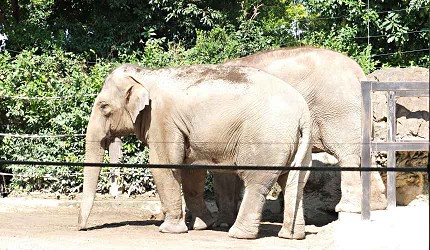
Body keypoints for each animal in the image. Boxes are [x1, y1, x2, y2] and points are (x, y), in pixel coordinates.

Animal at [78, 62, 312, 238]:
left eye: (103, 107)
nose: (82, 228)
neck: (145, 74)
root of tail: (303, 115)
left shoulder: (161, 119)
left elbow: (164, 166)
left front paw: (169, 230)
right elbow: (192, 170)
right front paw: (202, 226)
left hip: (265, 139)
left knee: (257, 183)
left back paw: (238, 234)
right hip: (299, 145)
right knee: (294, 183)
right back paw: (291, 236)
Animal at [213, 46, 388, 227]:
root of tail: (358, 72)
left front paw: (222, 224)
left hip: (338, 109)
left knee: (347, 153)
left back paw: (348, 208)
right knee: (366, 153)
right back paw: (375, 205)